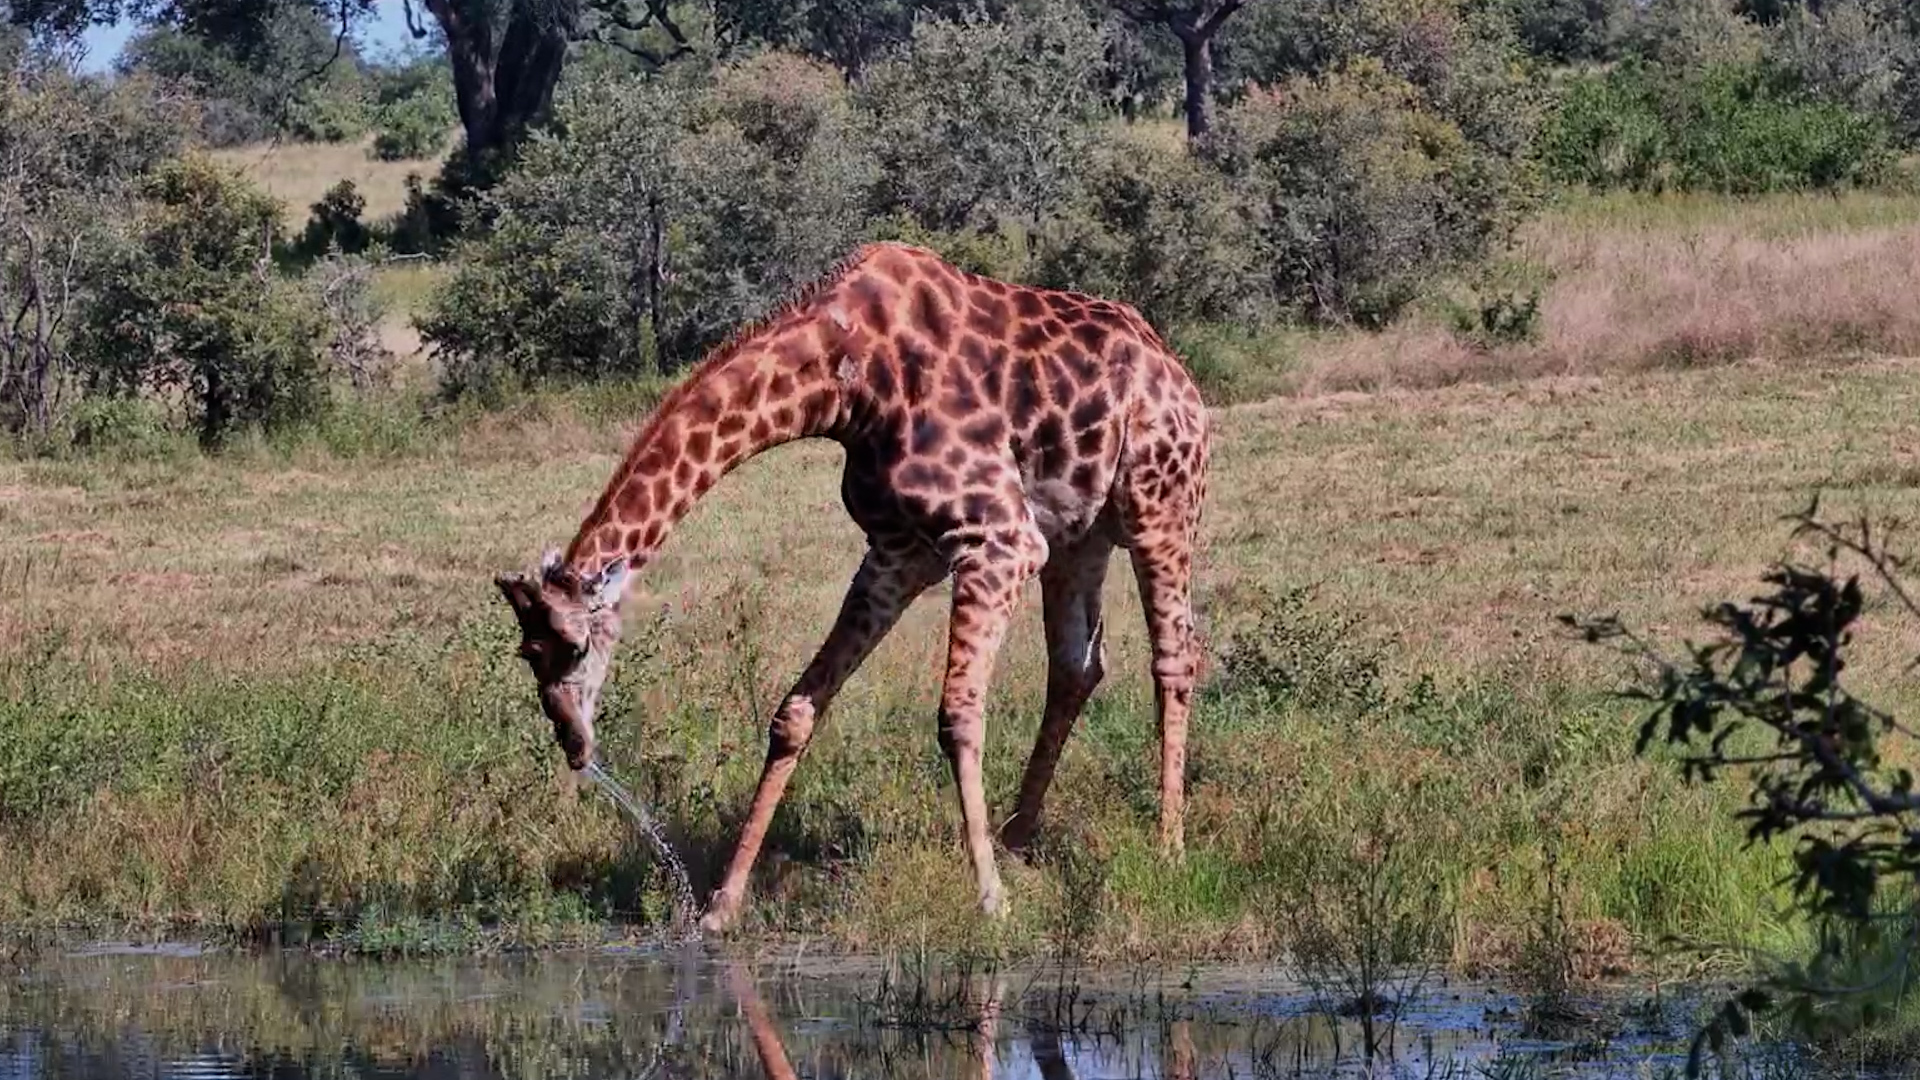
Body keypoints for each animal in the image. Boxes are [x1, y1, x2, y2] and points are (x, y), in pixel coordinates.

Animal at [495, 241, 1209, 933]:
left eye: (574, 647)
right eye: (528, 654)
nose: (575, 747)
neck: (846, 384)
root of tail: (1175, 369)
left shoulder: (999, 540)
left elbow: (958, 714)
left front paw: (990, 901)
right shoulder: (897, 553)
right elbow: (795, 713)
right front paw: (722, 904)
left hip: (1160, 505)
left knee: (1174, 657)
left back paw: (1168, 845)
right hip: (1078, 536)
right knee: (1077, 666)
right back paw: (1017, 839)